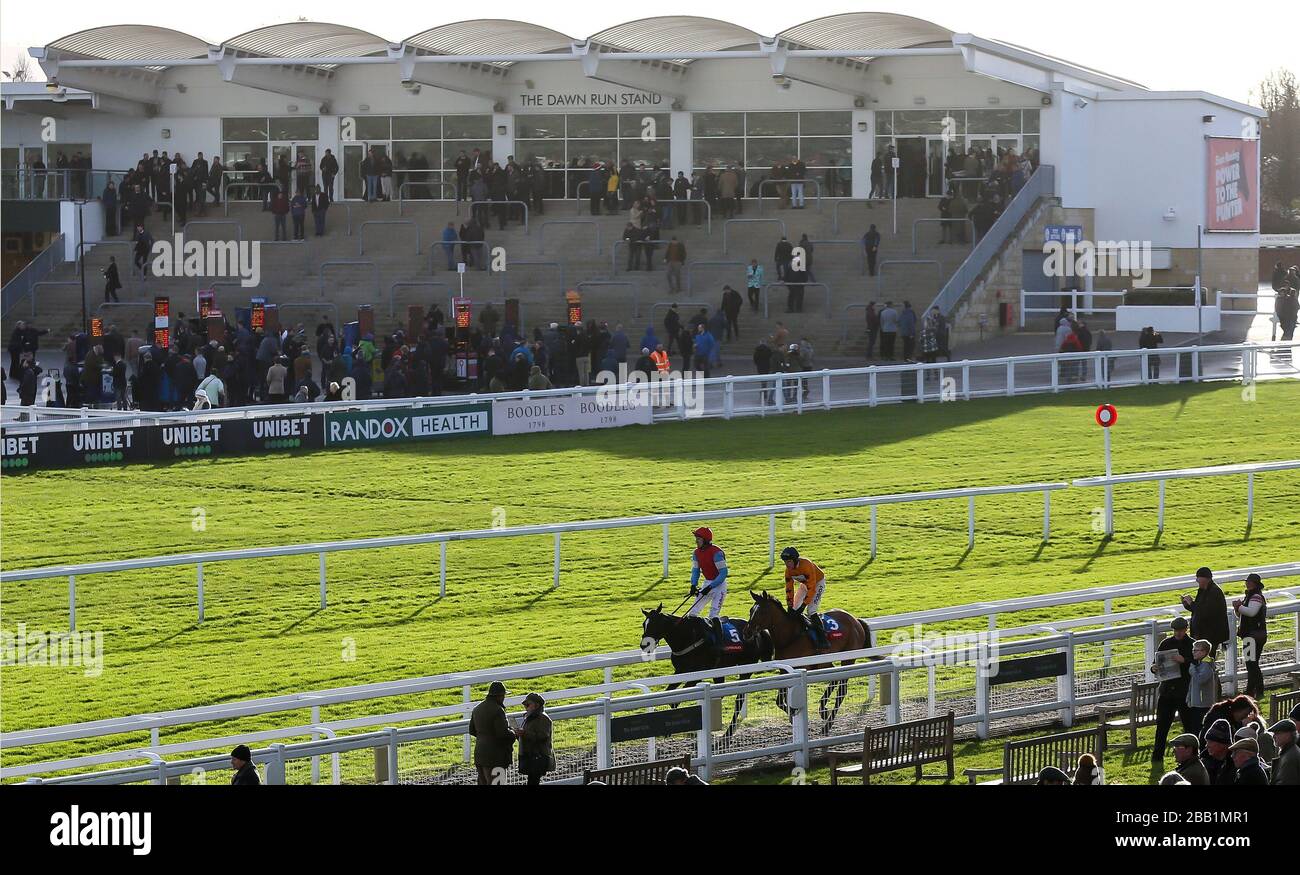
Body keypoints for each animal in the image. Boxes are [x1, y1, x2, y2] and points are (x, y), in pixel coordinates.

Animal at [639, 608, 769, 738]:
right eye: (644, 625)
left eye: (654, 624)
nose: (644, 645)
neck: (687, 637)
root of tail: (758, 632)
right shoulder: (680, 671)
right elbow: (670, 693)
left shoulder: (698, 674)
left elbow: (678, 699)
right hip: (719, 671)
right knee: (720, 694)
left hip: (746, 667)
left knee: (739, 699)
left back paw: (728, 733)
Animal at [743, 590, 873, 728]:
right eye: (751, 610)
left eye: (762, 612)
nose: (746, 632)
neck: (790, 637)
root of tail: (856, 620)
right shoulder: (785, 670)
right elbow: (779, 701)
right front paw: (792, 717)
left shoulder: (808, 665)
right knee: (835, 680)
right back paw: (824, 710)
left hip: (847, 658)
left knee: (841, 690)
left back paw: (828, 722)